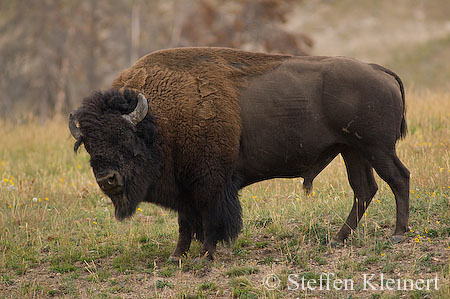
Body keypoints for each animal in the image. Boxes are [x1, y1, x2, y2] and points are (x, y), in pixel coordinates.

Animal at [68, 47, 410, 260]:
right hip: (352, 150)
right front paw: (176, 256)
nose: (107, 179)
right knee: (364, 189)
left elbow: (210, 221)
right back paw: (338, 239)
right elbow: (185, 223)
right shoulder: (185, 187)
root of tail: (378, 70)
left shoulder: (210, 184)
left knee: (398, 178)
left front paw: (205, 255)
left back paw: (398, 234)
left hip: (377, 148)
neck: (158, 119)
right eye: (88, 144)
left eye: (125, 137)